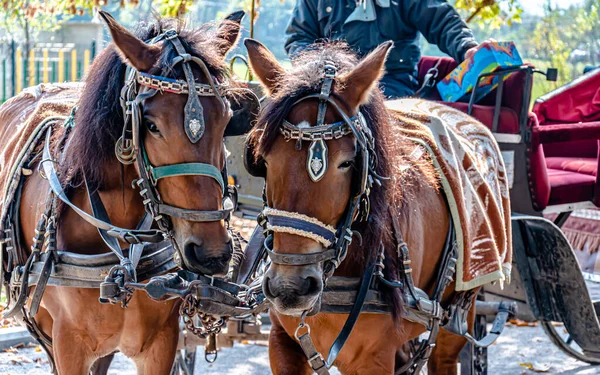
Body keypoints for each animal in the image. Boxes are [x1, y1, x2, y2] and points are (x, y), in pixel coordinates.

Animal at [243, 41, 488, 375]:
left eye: (347, 162)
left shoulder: (374, 359)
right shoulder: (281, 341)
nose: (290, 287)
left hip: (458, 316)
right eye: (264, 160)